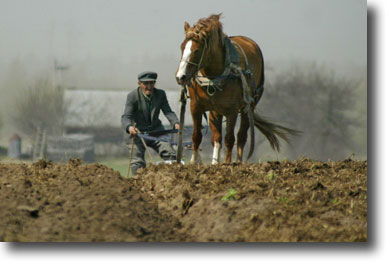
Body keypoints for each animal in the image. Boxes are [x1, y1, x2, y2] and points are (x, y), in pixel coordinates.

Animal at [176, 14, 296, 164]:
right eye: (182, 47)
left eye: (197, 50)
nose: (180, 77)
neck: (214, 77)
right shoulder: (195, 106)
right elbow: (197, 136)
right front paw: (195, 162)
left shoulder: (231, 110)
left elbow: (230, 139)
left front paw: (228, 163)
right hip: (216, 111)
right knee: (217, 138)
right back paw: (215, 162)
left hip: (249, 106)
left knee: (241, 136)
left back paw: (238, 161)